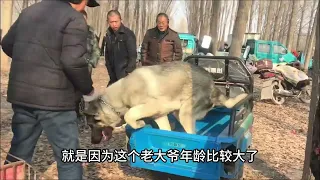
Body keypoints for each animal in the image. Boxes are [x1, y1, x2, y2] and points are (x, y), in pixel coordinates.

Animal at [83, 62, 248, 143]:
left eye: (91, 125)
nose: (93, 142)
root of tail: (212, 85)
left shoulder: (152, 106)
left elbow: (131, 113)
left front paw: (138, 124)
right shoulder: (160, 116)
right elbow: (165, 130)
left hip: (184, 113)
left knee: (193, 134)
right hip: (177, 112)